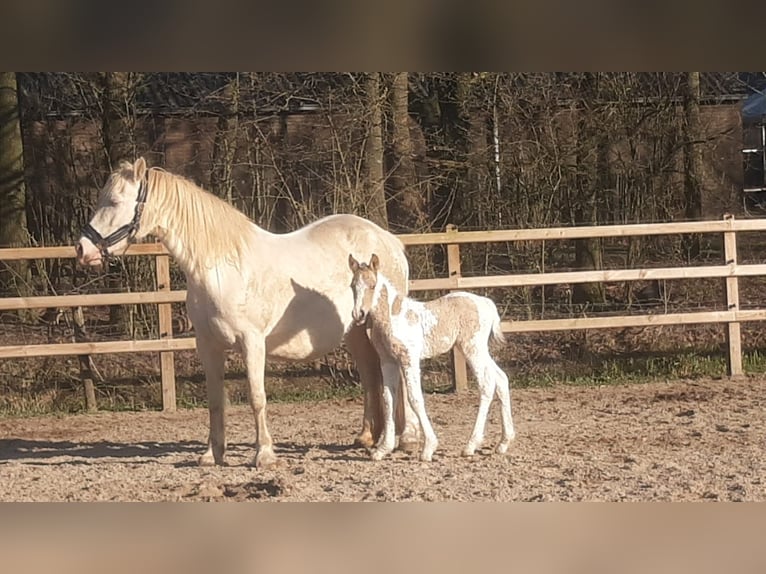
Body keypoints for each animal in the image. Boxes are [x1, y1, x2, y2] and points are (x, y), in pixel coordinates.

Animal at [75, 157, 420, 468]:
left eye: (115, 202)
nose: (82, 249)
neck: (221, 268)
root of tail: (389, 240)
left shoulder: (252, 342)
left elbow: (257, 397)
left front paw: (264, 455)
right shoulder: (208, 345)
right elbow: (215, 401)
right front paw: (212, 455)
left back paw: (406, 439)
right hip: (357, 332)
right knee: (371, 376)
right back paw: (368, 438)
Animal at [348, 253, 515, 461]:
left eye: (372, 285)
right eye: (352, 286)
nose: (358, 314)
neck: (393, 315)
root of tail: (487, 304)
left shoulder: (409, 358)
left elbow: (415, 398)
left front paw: (428, 448)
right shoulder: (388, 361)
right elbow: (388, 399)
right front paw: (382, 449)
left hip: (472, 349)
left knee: (487, 384)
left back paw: (470, 445)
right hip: (480, 350)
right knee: (501, 379)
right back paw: (503, 443)